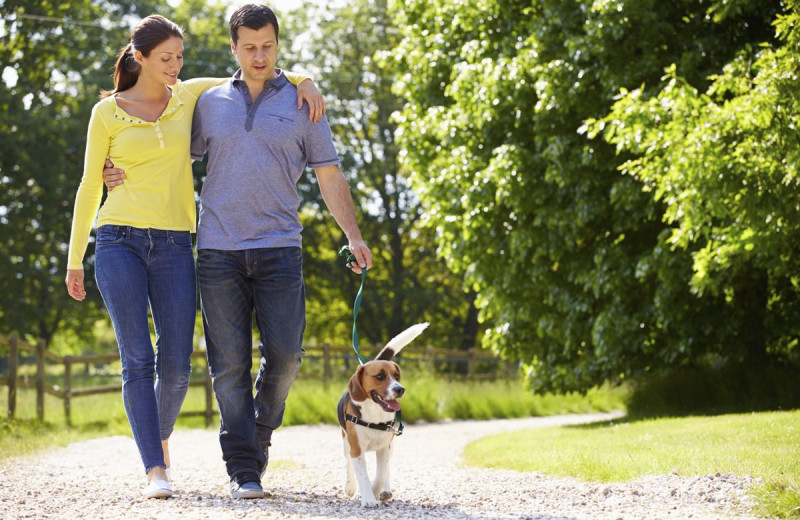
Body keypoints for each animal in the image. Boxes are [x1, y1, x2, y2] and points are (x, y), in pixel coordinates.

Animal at [334, 322, 428, 506]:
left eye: (397, 376)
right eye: (379, 376)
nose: (400, 389)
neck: (375, 414)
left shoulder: (385, 447)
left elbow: (380, 474)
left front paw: (375, 491)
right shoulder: (356, 448)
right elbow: (362, 475)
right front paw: (368, 498)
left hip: (390, 447)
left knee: (386, 469)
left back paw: (385, 490)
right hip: (346, 443)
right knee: (348, 463)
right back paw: (350, 487)